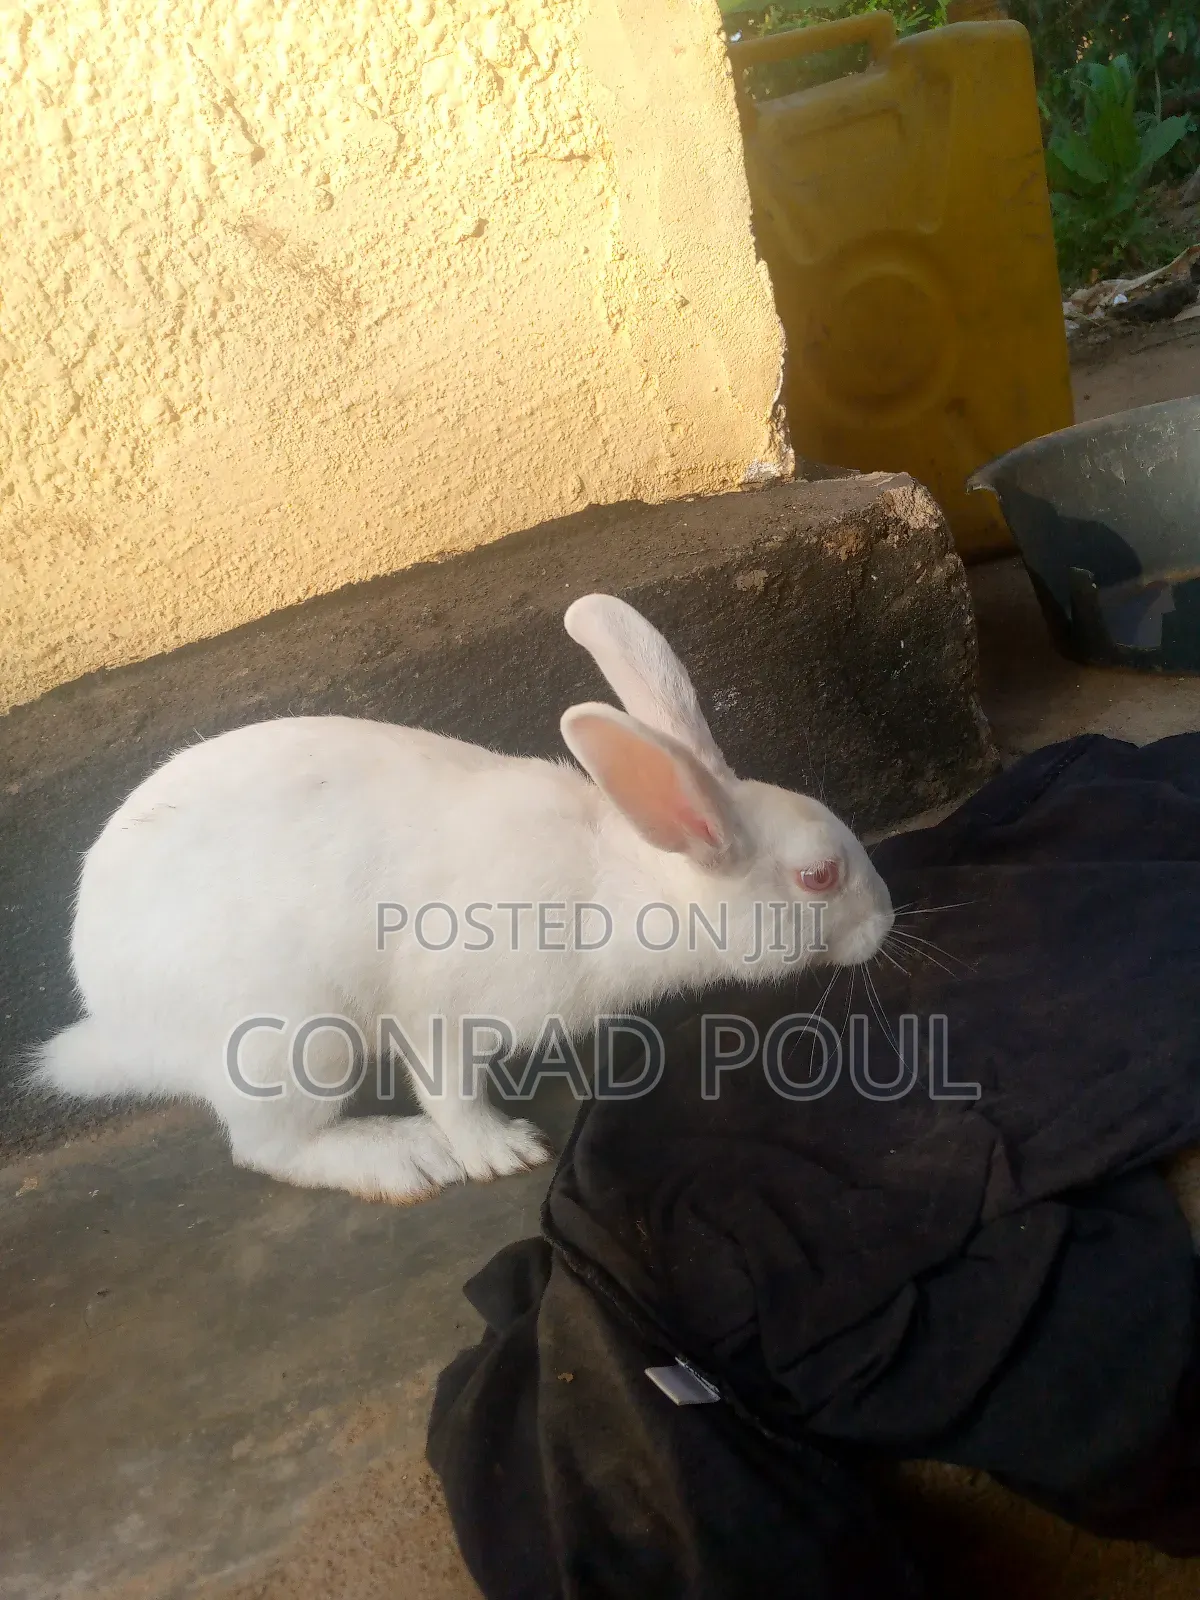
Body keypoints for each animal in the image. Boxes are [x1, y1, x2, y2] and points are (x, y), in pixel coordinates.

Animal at [28, 594, 894, 1205]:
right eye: (820, 877)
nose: (888, 922)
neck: (624, 882)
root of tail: (127, 1028)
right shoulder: (444, 1009)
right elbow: (450, 1088)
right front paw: (501, 1151)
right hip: (293, 1042)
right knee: (268, 1147)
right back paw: (403, 1157)